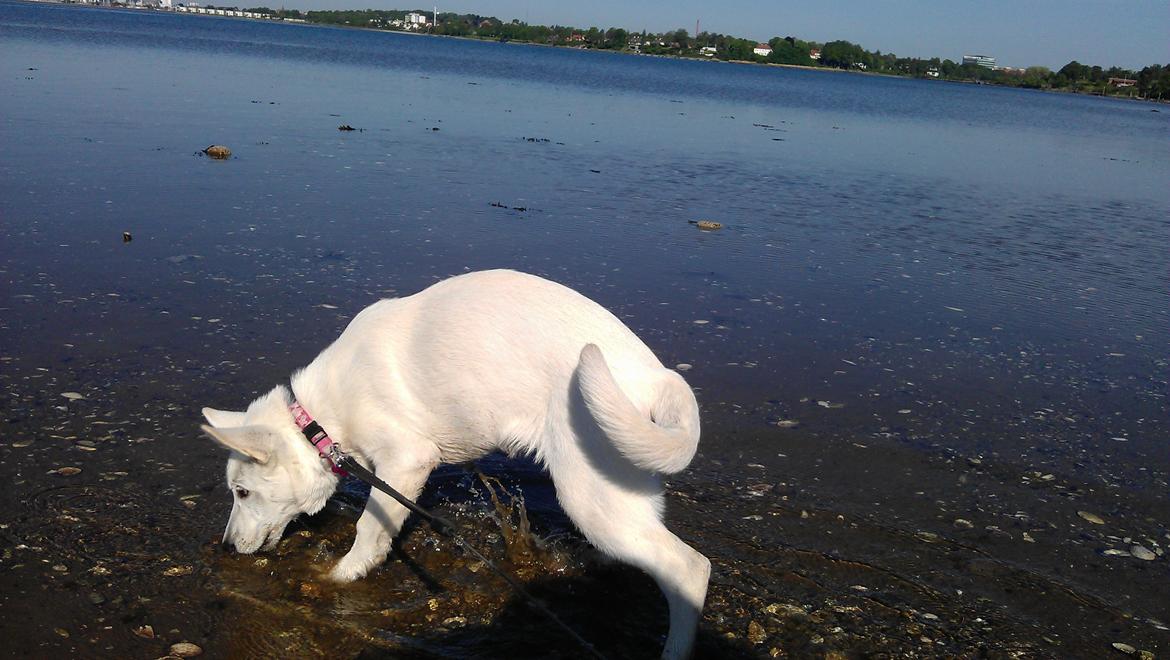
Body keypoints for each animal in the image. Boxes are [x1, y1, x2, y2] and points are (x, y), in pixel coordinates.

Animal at [201, 269, 706, 660]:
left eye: (241, 492)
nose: (225, 547)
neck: (321, 418)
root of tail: (656, 376)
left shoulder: (406, 460)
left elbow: (370, 528)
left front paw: (341, 575)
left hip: (588, 491)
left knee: (689, 569)